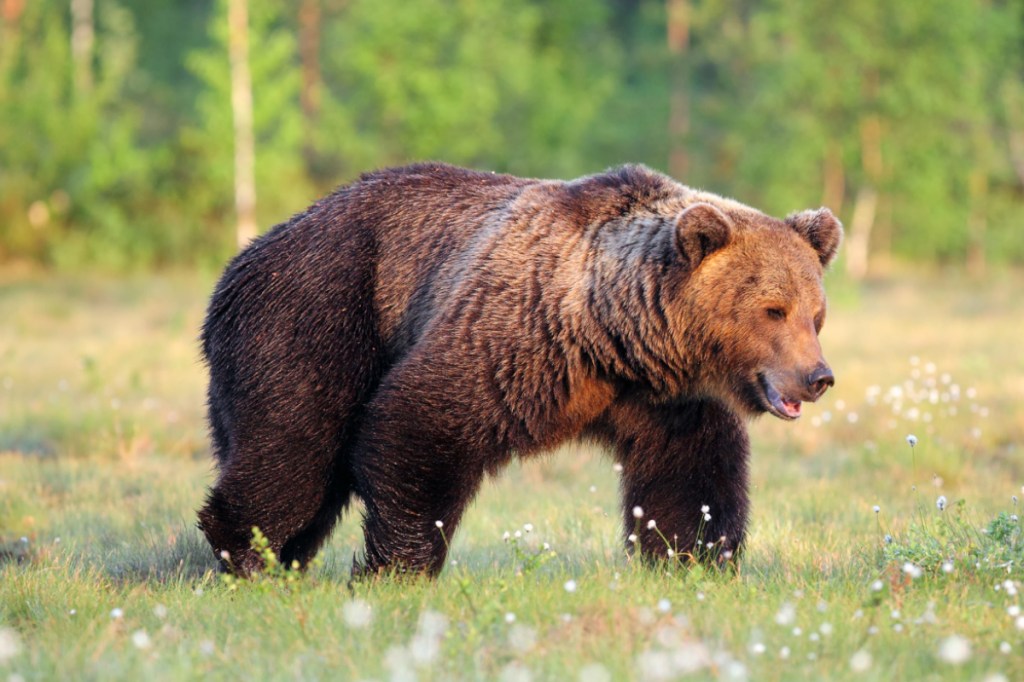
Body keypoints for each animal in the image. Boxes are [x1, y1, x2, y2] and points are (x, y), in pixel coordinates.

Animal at [197, 160, 839, 573]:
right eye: (772, 309)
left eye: (816, 314)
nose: (818, 378)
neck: (614, 334)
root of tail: (242, 258)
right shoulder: (517, 339)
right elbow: (419, 423)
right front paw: (400, 566)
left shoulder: (667, 400)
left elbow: (692, 477)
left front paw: (694, 560)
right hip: (319, 315)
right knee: (294, 446)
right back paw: (244, 551)